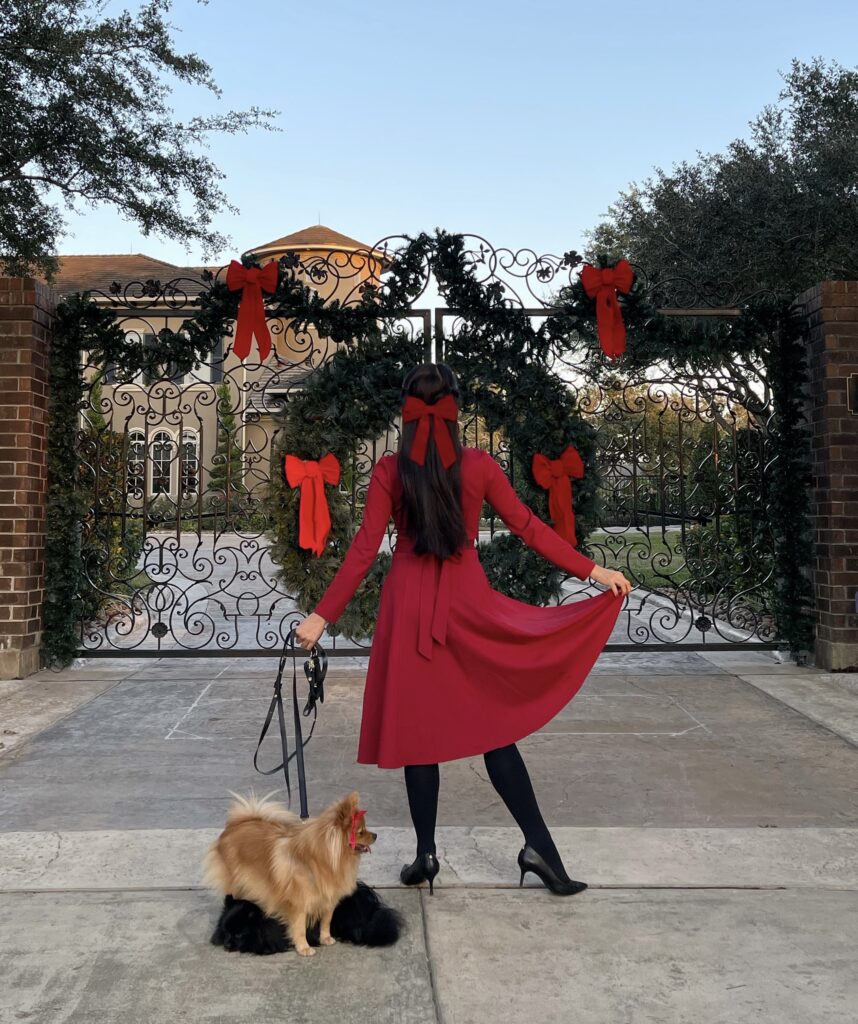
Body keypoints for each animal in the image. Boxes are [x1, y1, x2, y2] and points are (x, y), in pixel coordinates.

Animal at [203, 786, 387, 954]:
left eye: (365, 829)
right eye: (361, 832)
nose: (376, 835)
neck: (322, 860)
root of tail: (237, 824)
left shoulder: (329, 900)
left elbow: (326, 921)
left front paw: (325, 938)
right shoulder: (299, 904)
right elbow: (299, 928)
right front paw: (304, 947)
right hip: (237, 882)